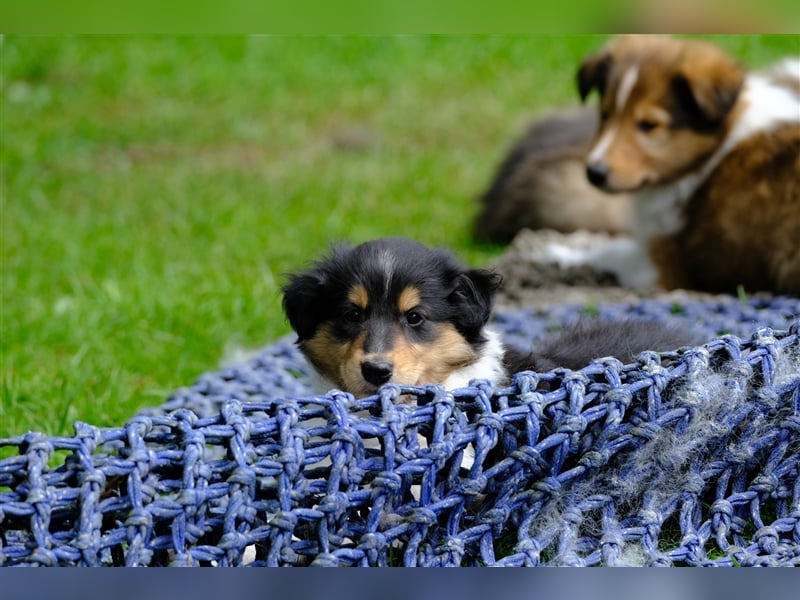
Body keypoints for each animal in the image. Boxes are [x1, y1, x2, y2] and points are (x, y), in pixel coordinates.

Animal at [580, 35, 796, 292]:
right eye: (605, 115)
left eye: (648, 125)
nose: (594, 173)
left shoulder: (663, 271)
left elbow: (608, 252)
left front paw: (561, 254)